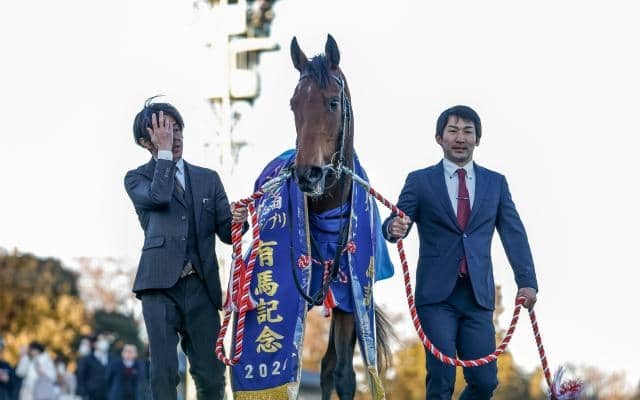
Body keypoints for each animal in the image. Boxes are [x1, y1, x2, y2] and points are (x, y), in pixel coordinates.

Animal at [289, 34, 394, 400]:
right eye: (294, 105)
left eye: (333, 103)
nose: (308, 174)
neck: (327, 207)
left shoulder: (350, 296)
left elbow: (344, 375)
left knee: (329, 367)